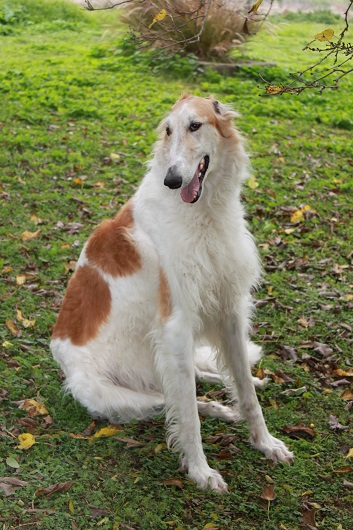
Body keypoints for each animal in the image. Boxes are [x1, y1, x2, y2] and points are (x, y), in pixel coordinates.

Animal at [50, 95, 292, 490]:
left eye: (195, 125)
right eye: (167, 130)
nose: (173, 179)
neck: (205, 214)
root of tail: (57, 347)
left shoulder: (228, 308)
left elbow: (246, 391)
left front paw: (266, 442)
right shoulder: (176, 324)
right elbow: (188, 416)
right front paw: (201, 472)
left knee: (194, 380)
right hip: (107, 392)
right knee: (172, 400)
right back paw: (218, 408)